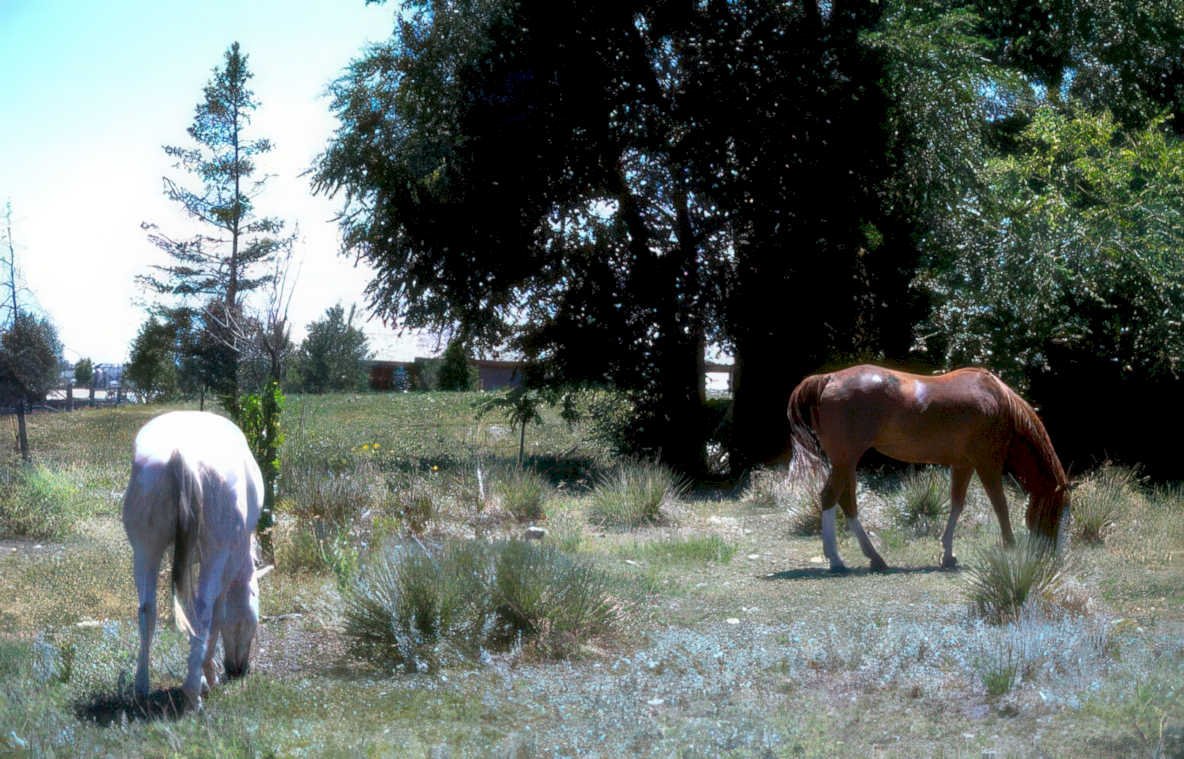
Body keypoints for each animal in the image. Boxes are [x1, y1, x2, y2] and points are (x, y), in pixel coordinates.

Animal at [122, 411, 266, 711]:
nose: (238, 670)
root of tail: (182, 455)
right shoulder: (228, 563)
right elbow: (217, 614)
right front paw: (207, 677)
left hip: (145, 549)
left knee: (147, 611)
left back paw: (141, 688)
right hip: (215, 554)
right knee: (203, 612)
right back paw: (193, 694)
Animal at [787, 364, 1070, 572]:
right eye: (1056, 510)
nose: (1054, 556)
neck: (998, 401)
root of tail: (829, 378)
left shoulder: (964, 465)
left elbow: (957, 503)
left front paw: (948, 555)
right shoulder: (987, 464)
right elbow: (1000, 505)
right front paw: (1010, 547)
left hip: (846, 463)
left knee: (846, 502)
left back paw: (874, 558)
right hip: (846, 460)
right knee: (830, 497)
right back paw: (837, 560)